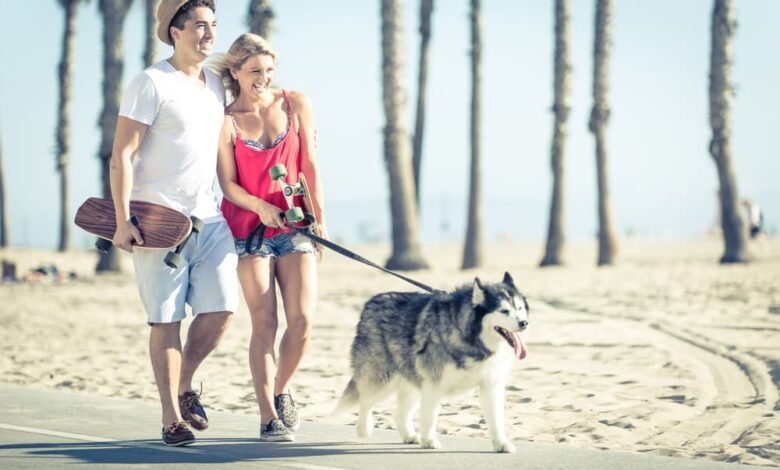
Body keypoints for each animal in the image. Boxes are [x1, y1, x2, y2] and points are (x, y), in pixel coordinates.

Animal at [336, 272, 532, 452]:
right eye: (504, 311)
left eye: (520, 308)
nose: (524, 323)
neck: (470, 338)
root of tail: (371, 302)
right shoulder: (433, 384)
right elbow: (430, 417)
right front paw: (429, 441)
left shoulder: (491, 385)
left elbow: (496, 420)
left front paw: (501, 444)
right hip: (381, 379)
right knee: (366, 400)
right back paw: (364, 429)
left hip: (411, 382)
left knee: (400, 412)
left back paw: (409, 435)